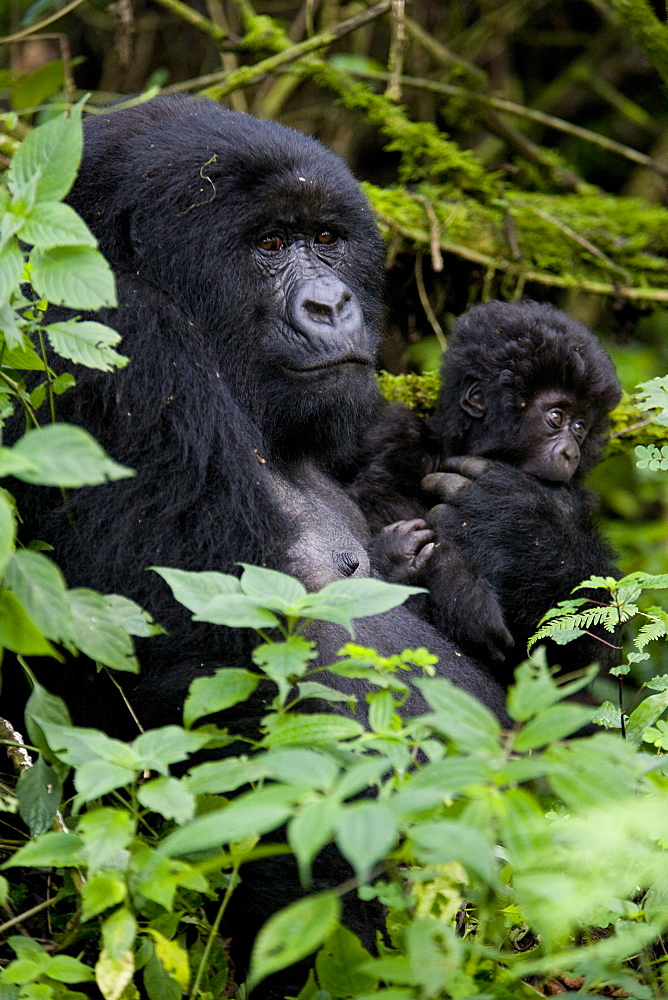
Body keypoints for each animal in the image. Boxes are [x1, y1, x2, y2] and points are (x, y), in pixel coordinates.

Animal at [352, 296, 624, 680]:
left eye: (580, 427)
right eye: (556, 417)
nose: (571, 453)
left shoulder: (577, 499)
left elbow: (586, 637)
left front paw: (510, 515)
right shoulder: (399, 436)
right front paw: (454, 586)